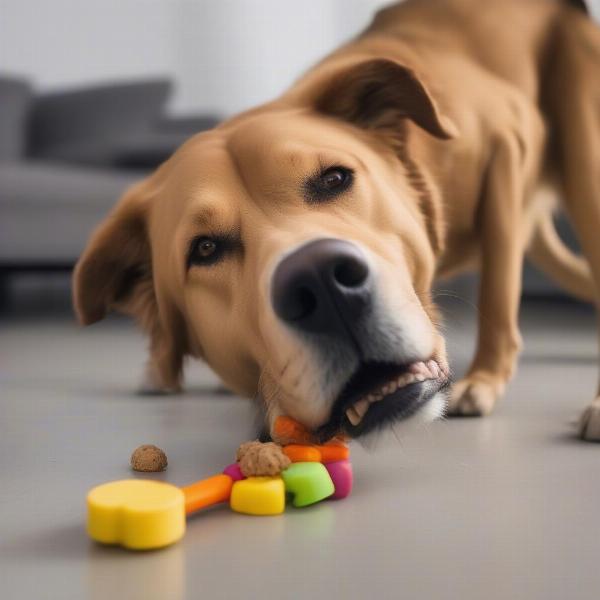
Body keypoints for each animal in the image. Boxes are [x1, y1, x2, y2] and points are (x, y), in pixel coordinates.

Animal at [72, 0, 600, 440]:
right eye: (205, 249)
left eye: (334, 178)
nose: (322, 283)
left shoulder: (505, 148)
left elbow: (497, 292)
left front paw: (486, 378)